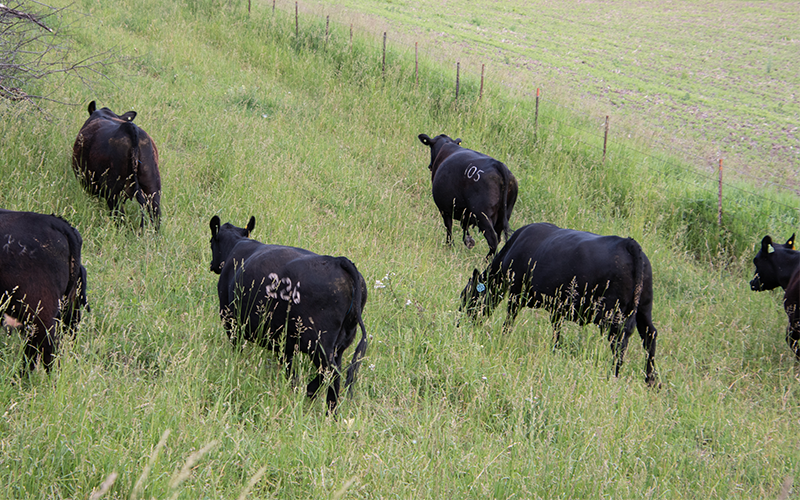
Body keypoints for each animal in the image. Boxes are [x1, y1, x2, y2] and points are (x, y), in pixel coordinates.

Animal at [208, 214, 368, 410]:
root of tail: (338, 260)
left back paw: (317, 398)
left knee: (331, 373)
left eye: (211, 242)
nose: (212, 265)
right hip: (341, 342)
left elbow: (236, 349)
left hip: (318, 342)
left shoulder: (231, 321)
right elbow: (289, 368)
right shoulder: (285, 342)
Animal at [460, 224, 660, 386]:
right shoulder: (558, 307)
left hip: (613, 316)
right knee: (649, 336)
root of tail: (628, 243)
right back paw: (651, 381)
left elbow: (509, 320)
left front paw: (503, 338)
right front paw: (555, 350)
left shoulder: (517, 294)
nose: (459, 324)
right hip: (644, 308)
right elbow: (557, 330)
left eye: (466, 297)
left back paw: (614, 374)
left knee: (620, 343)